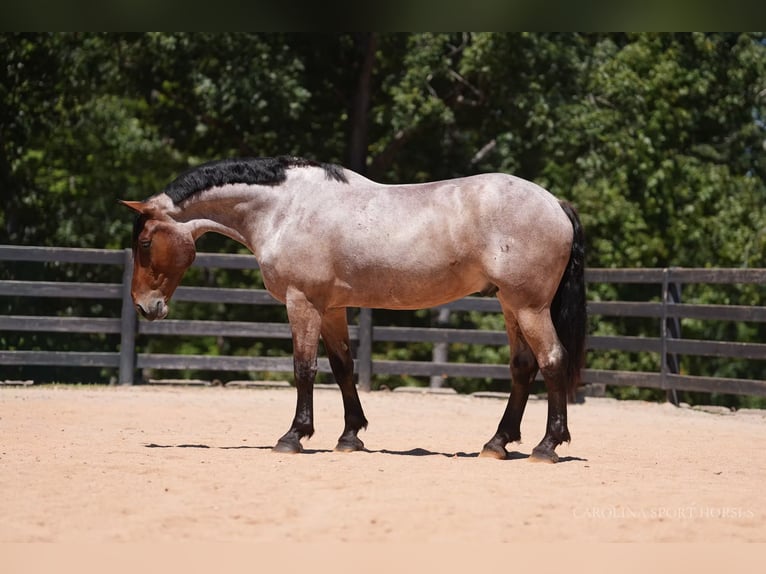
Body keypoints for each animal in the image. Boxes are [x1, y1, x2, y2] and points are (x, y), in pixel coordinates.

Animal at [121, 155, 586, 462]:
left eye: (144, 243)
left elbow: (304, 368)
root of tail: (555, 203)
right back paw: (497, 443)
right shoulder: (330, 309)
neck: (286, 208)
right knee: (523, 367)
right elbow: (342, 367)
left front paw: (294, 436)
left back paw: (547, 446)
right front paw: (350, 437)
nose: (145, 306)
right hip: (510, 306)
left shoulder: (302, 302)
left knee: (552, 360)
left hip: (528, 307)